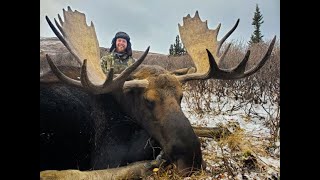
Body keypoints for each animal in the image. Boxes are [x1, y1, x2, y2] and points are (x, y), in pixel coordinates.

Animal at [39, 6, 276, 177]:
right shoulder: (109, 153)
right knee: (59, 174)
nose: (192, 158)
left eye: (181, 97)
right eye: (148, 100)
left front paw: (223, 128)